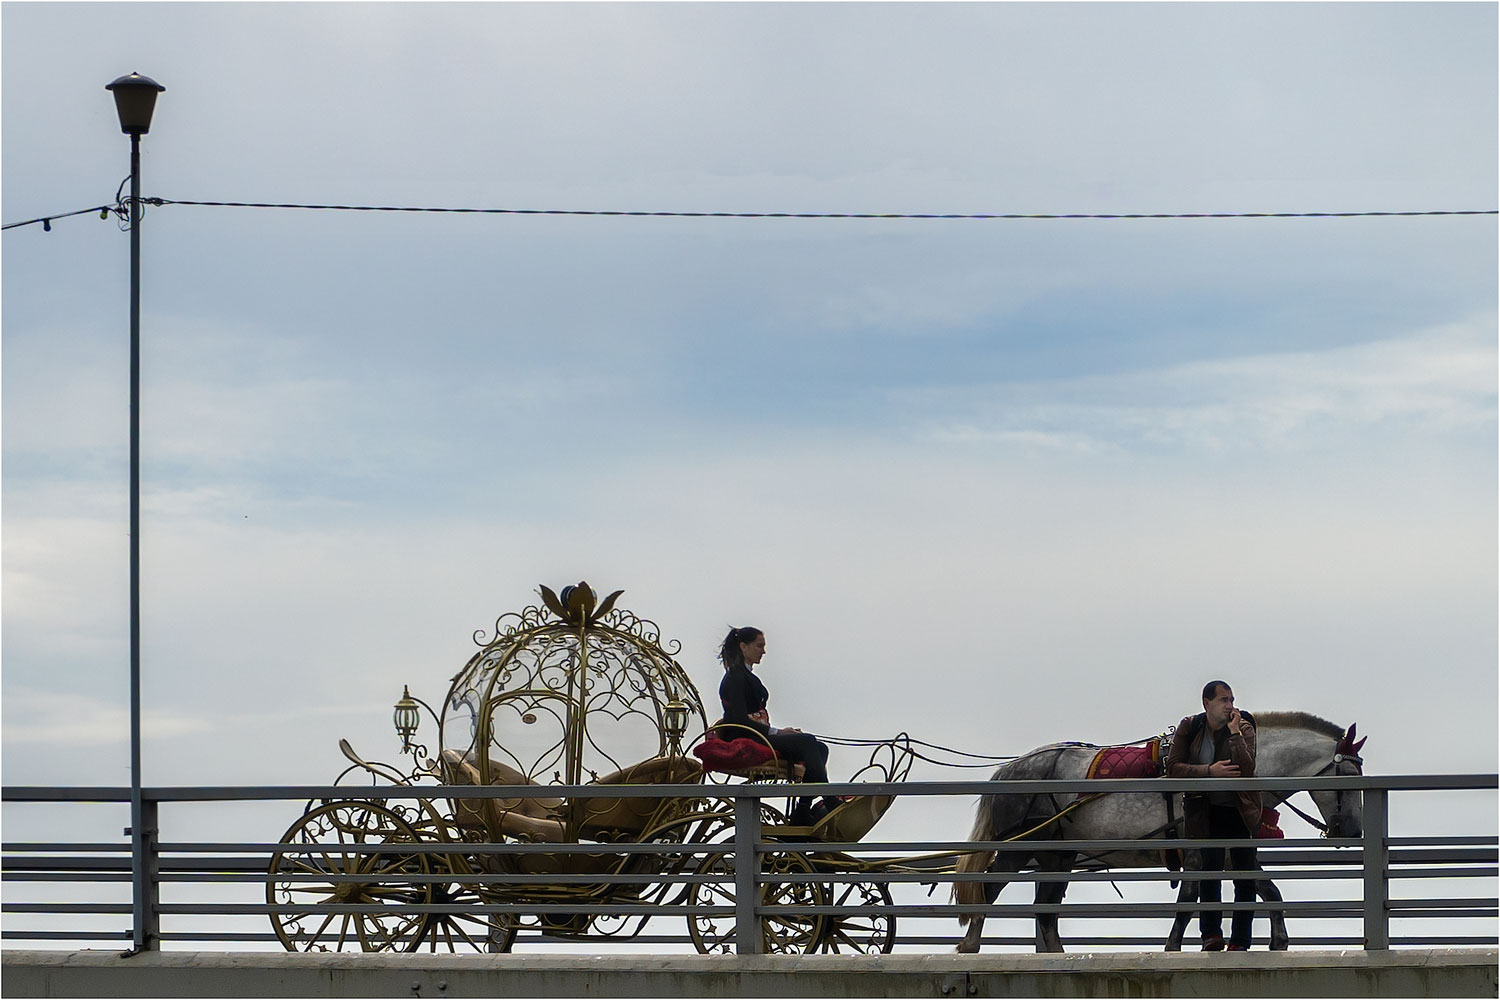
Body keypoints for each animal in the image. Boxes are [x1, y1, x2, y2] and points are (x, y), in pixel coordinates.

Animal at [954, 710, 1368, 953]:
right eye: (1348, 774)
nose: (1351, 831)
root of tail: (1011, 769)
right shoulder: (1197, 847)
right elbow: (1189, 899)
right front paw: (1173, 947)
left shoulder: (1230, 847)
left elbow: (1267, 889)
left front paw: (1279, 940)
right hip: (1021, 847)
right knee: (988, 890)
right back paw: (970, 946)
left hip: (1059, 854)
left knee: (1046, 908)